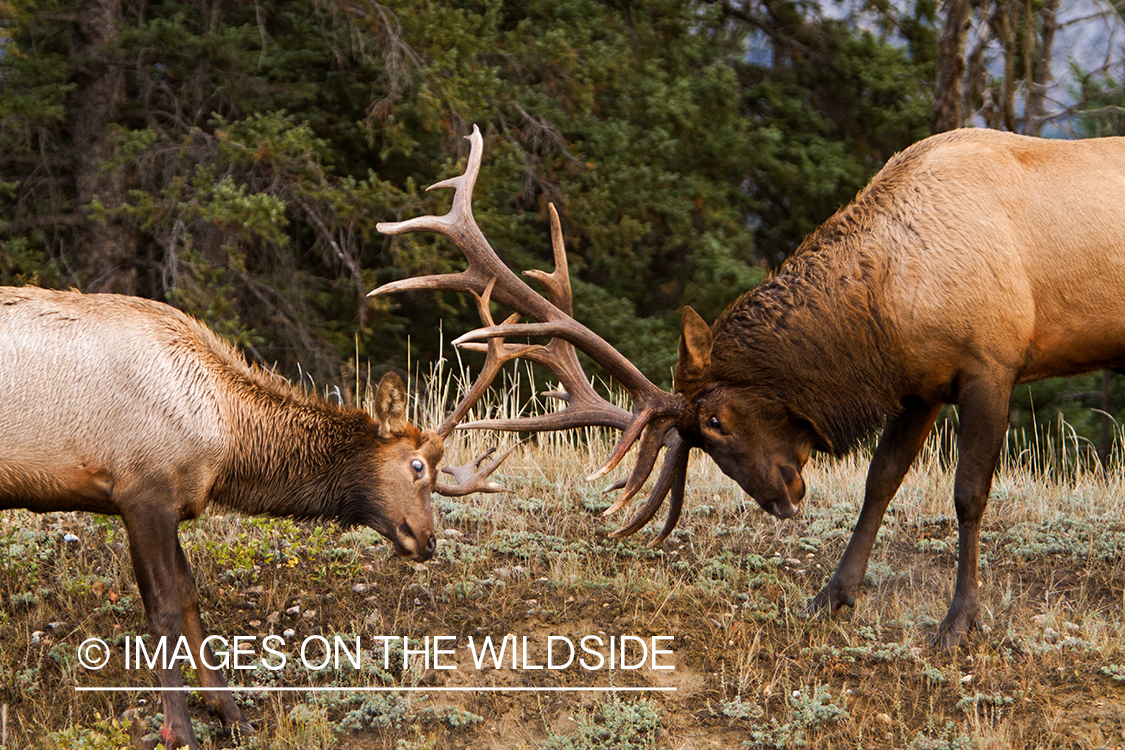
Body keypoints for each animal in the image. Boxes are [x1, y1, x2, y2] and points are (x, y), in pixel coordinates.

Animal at [0, 285, 506, 750]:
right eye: (417, 466)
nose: (428, 540)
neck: (222, 442)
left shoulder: (172, 501)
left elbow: (190, 598)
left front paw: (232, 716)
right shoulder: (142, 493)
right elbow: (163, 612)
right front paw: (180, 733)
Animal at [373, 123, 1125, 652]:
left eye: (716, 425)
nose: (782, 498)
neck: (887, 307)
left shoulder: (990, 361)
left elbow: (968, 495)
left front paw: (959, 622)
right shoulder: (919, 384)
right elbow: (880, 479)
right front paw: (830, 596)